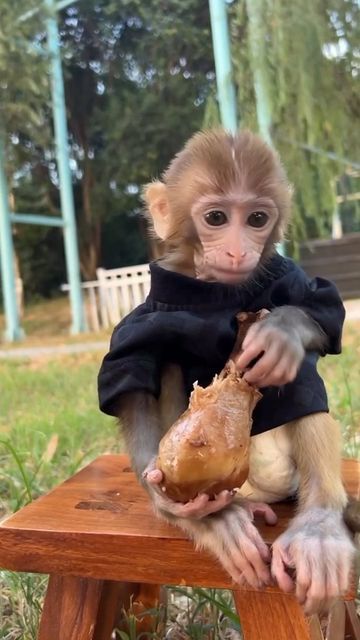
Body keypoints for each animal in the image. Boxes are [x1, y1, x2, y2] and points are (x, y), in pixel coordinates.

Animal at [98, 129, 354, 616]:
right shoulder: (146, 310)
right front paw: (167, 502)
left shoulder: (284, 275)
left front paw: (279, 333)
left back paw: (319, 528)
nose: (238, 249)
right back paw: (217, 519)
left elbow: (323, 308)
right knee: (169, 361)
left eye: (256, 218)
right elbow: (131, 374)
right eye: (216, 218)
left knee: (302, 377)